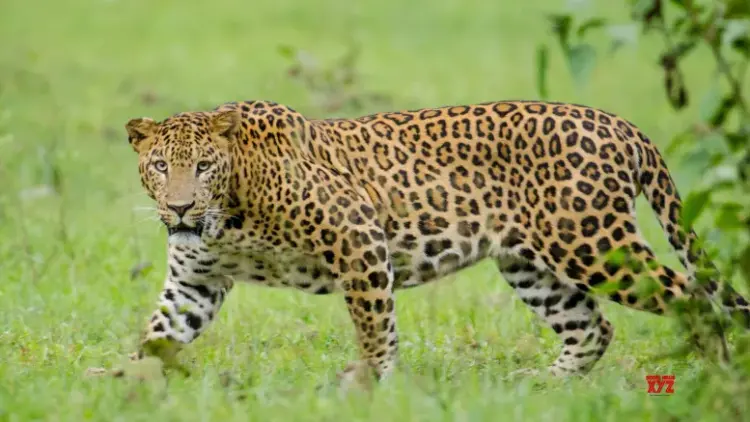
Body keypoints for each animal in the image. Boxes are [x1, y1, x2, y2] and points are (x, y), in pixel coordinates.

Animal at [125, 99, 750, 381]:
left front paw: (370, 384)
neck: (228, 214)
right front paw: (121, 385)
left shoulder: (358, 236)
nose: (179, 207)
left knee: (694, 299)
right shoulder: (195, 282)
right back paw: (545, 388)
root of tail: (621, 124)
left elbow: (374, 324)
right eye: (160, 166)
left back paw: (719, 380)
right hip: (530, 265)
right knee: (592, 327)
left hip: (592, 243)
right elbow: (158, 334)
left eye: (204, 166)